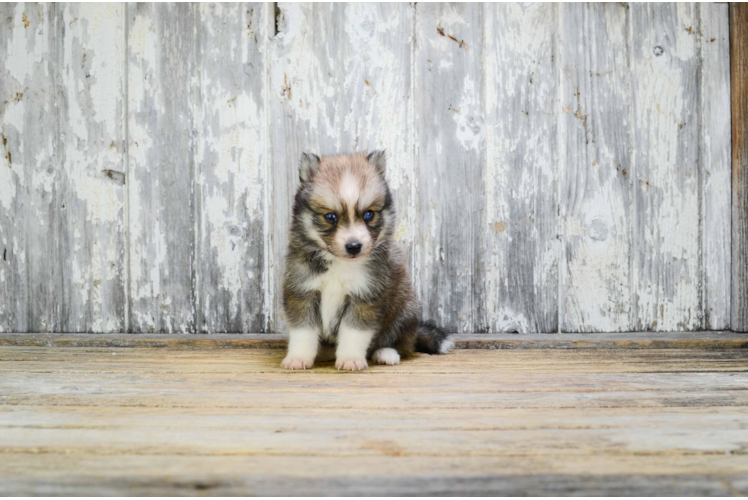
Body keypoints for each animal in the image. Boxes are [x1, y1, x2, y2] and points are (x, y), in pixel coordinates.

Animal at [282, 150, 452, 370]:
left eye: (369, 214)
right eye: (331, 217)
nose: (354, 246)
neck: (340, 264)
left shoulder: (365, 297)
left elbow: (354, 333)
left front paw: (350, 359)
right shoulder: (302, 292)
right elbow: (303, 332)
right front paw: (298, 358)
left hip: (406, 311)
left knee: (400, 343)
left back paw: (386, 353)